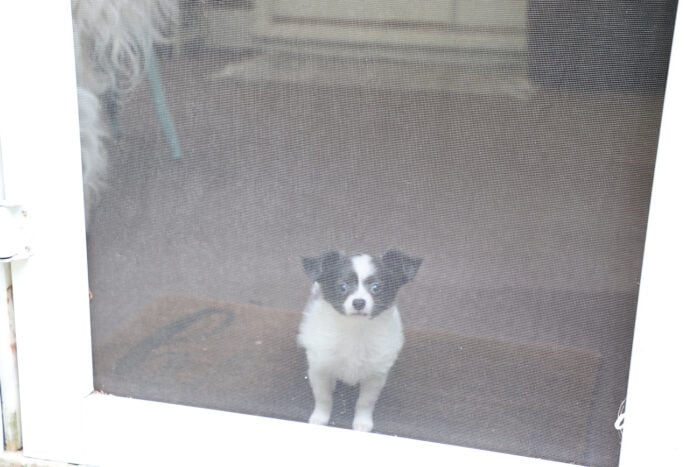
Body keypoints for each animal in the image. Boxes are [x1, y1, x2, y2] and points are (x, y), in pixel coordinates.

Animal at [296, 250, 422, 434]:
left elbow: (365, 402)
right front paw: (319, 419)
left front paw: (362, 424)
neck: (355, 329)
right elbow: (323, 398)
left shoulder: (375, 376)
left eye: (376, 288)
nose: (359, 302)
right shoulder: (320, 369)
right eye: (342, 287)